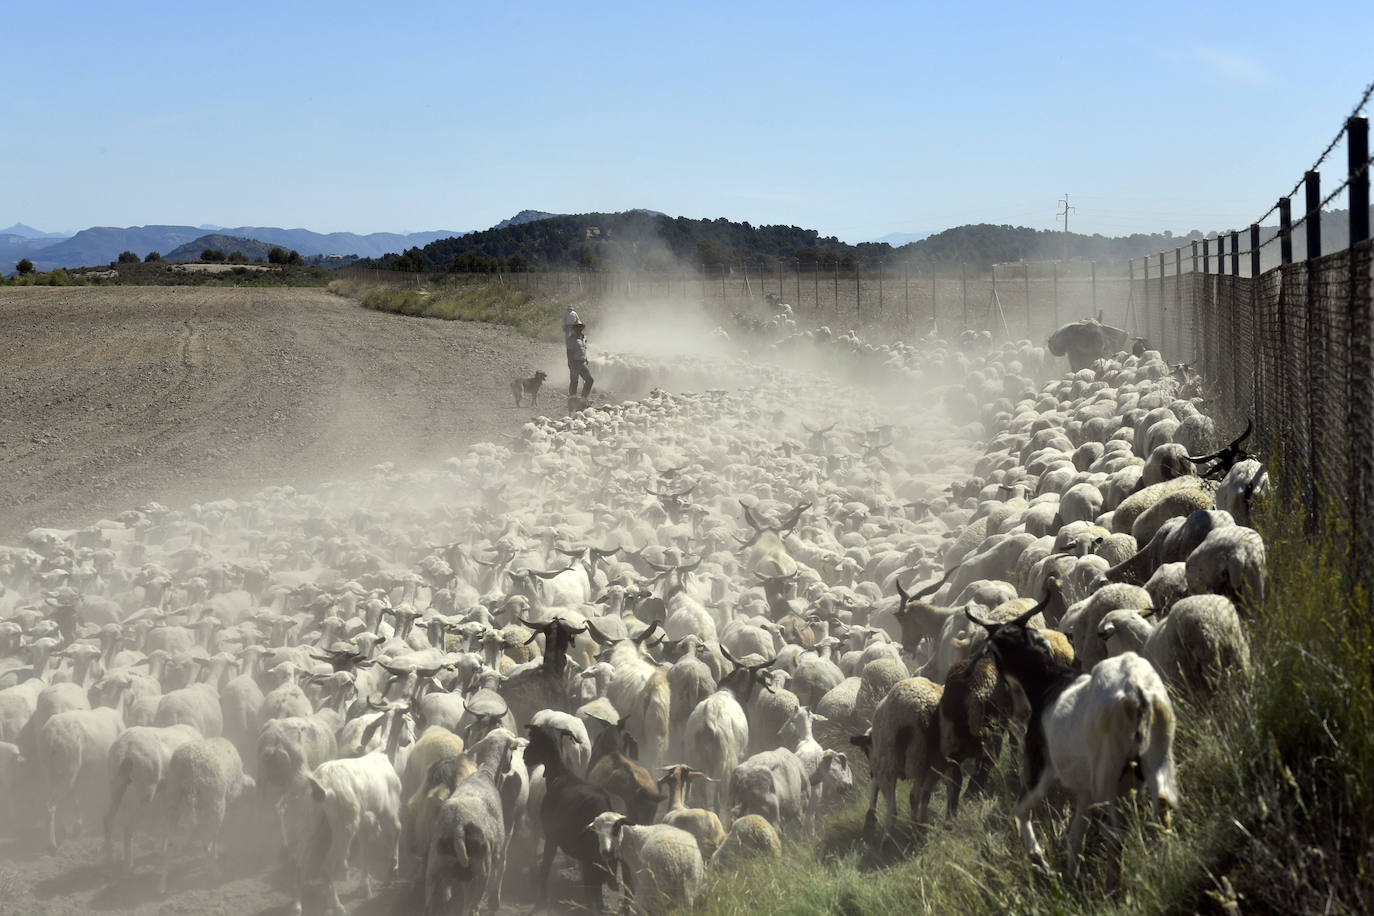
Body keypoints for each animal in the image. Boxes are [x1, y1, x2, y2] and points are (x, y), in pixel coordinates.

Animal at [158, 736, 255, 895]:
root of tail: (190, 769)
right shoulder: (224, 805)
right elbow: (215, 838)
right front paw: (216, 855)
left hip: (172, 804)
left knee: (169, 846)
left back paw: (162, 886)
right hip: (213, 806)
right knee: (206, 845)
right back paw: (216, 874)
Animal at [849, 676, 943, 839]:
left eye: (866, 751)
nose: (870, 772)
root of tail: (923, 707)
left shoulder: (881, 764)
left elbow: (875, 788)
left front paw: (870, 821)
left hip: (897, 761)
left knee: (896, 806)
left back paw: (890, 837)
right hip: (930, 761)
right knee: (922, 796)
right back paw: (920, 828)